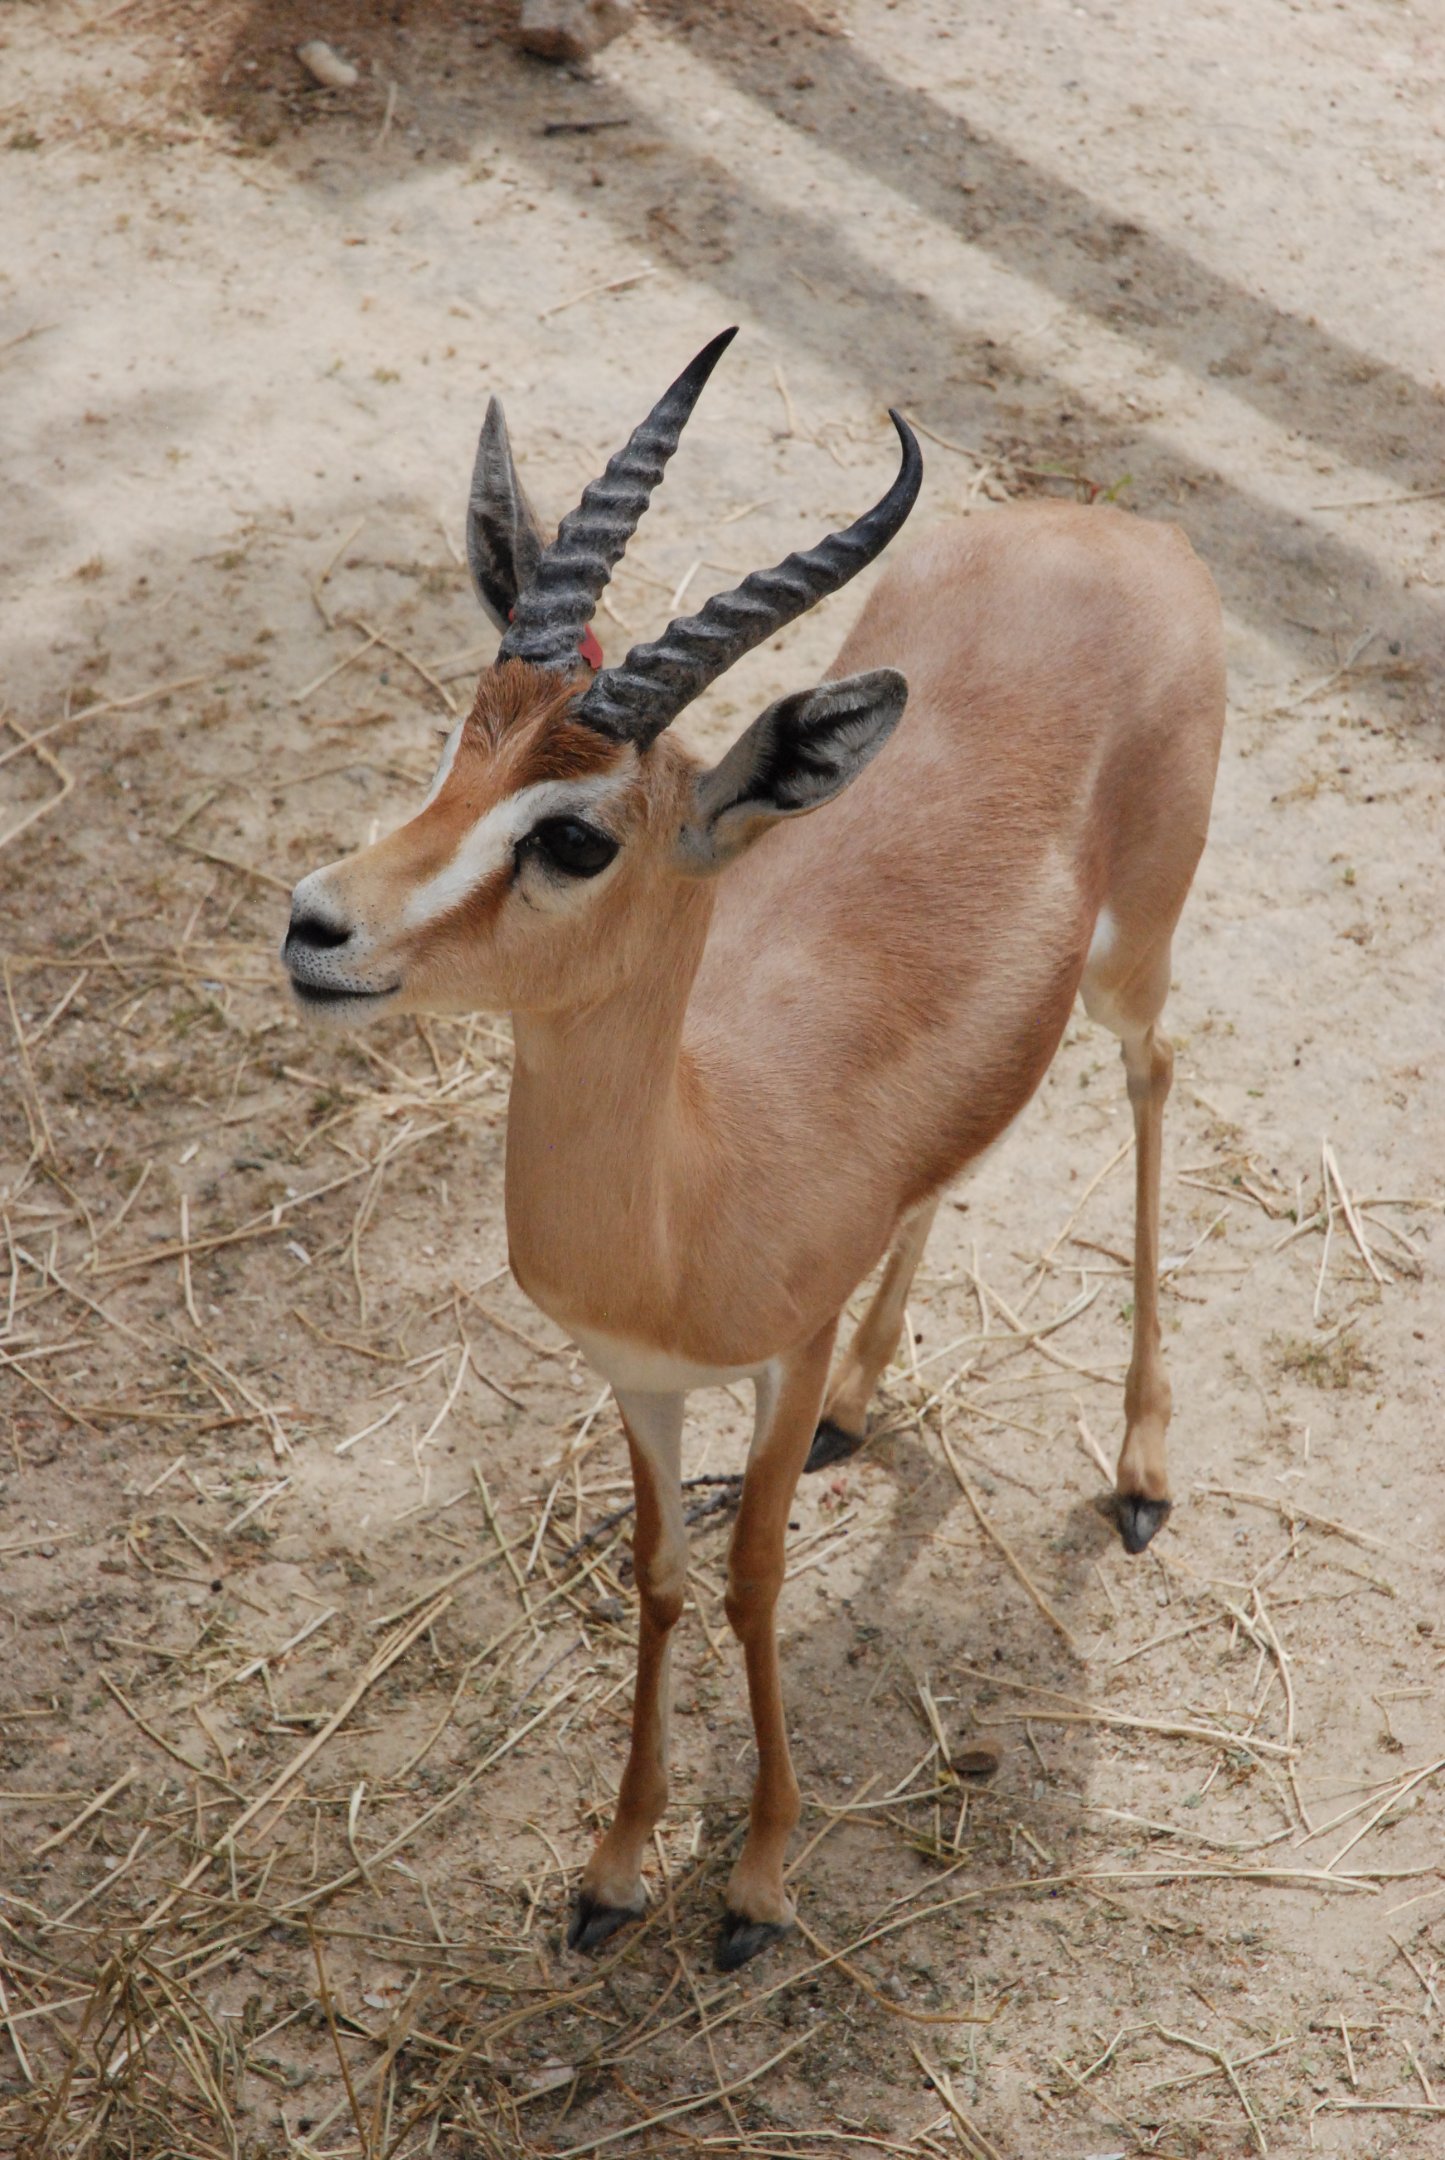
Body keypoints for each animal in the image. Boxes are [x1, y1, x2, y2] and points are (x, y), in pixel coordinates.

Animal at [283, 328, 1225, 1969]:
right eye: (459, 753)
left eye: (574, 835)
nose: (316, 927)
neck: (689, 1191)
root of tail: (1117, 531)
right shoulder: (639, 1380)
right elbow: (661, 1581)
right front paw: (615, 1867)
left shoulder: (770, 1360)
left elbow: (753, 1574)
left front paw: (762, 1879)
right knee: (950, 1175)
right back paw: (872, 1402)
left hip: (1136, 960)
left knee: (1153, 1076)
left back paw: (1140, 1467)